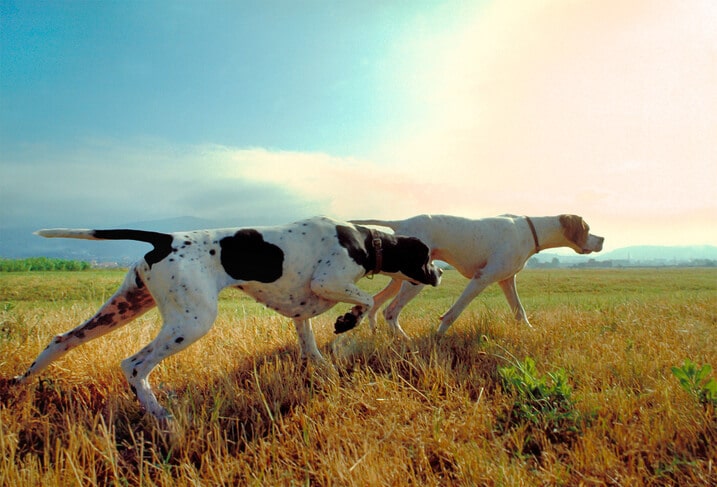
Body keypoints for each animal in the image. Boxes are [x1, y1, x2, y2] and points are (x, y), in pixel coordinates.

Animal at [350, 215, 600, 338]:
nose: (602, 239)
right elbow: (453, 313)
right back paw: (405, 340)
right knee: (390, 312)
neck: (530, 230)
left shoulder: (506, 281)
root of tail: (401, 222)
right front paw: (438, 337)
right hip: (414, 282)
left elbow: (520, 312)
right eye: (587, 229)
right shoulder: (482, 278)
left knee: (375, 305)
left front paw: (531, 332)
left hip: (399, 279)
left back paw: (378, 335)